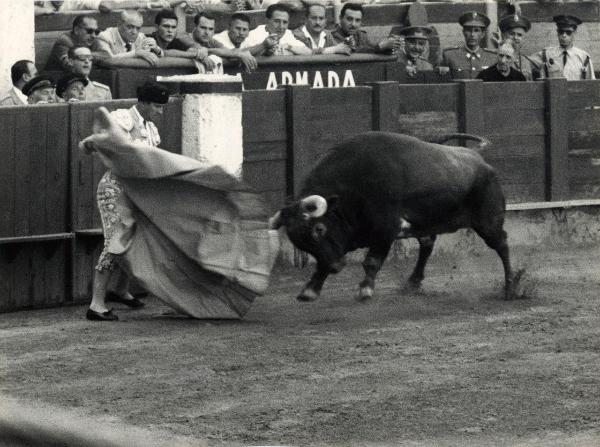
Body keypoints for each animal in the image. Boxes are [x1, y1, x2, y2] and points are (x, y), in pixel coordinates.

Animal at [270, 131, 516, 302]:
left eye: (319, 229)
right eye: (299, 241)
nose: (336, 267)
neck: (351, 188)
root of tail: (478, 158)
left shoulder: (385, 230)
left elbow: (371, 261)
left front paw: (365, 289)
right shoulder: (343, 243)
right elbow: (323, 261)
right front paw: (309, 290)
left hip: (488, 222)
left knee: (502, 245)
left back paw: (510, 287)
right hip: (428, 224)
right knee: (427, 245)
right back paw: (412, 283)